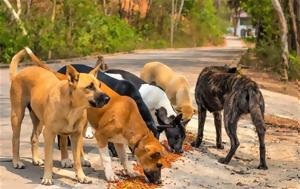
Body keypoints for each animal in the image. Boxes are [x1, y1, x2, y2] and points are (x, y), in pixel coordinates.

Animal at [9, 48, 110, 185]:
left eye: (99, 85)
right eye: (89, 87)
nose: (108, 98)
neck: (72, 106)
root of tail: (17, 75)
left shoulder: (76, 135)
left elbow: (77, 160)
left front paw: (81, 176)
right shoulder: (49, 134)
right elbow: (49, 160)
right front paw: (47, 177)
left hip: (39, 121)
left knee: (34, 138)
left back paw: (35, 159)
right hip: (17, 116)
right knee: (15, 139)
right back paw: (17, 162)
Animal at [25, 51, 166, 184]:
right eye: (159, 165)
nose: (159, 182)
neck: (128, 116)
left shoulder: (119, 142)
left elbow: (124, 158)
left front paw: (129, 171)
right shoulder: (101, 136)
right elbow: (107, 159)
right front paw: (110, 175)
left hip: (81, 124)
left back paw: (81, 159)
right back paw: (66, 158)